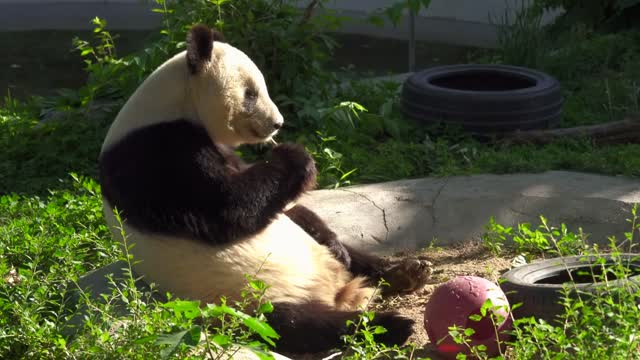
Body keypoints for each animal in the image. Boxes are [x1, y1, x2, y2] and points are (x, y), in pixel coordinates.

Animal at [97, 24, 432, 354]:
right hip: (244, 300)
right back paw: (389, 325)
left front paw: (328, 234)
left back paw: (404, 271)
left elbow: (283, 207)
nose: (277, 124)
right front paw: (296, 157)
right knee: (300, 324)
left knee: (354, 257)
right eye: (250, 93)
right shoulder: (155, 156)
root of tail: (336, 292)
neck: (175, 106)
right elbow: (227, 209)